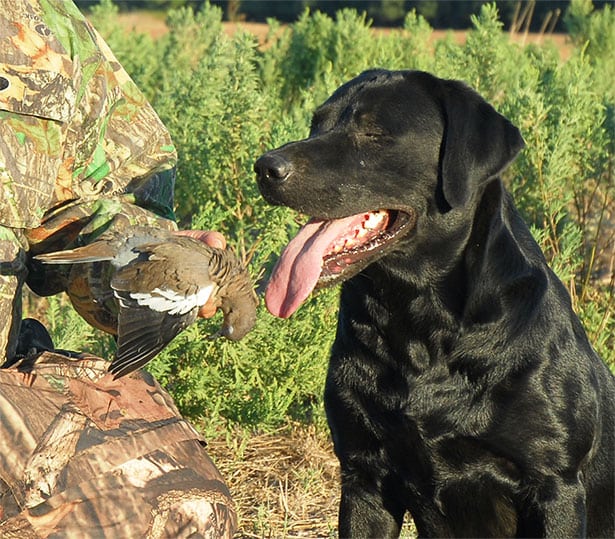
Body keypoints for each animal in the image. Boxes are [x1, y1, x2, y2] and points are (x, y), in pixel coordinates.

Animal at [255, 69, 615, 536]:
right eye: (316, 124)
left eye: (374, 133)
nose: (265, 167)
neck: (420, 326)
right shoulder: (363, 474)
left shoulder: (556, 485)